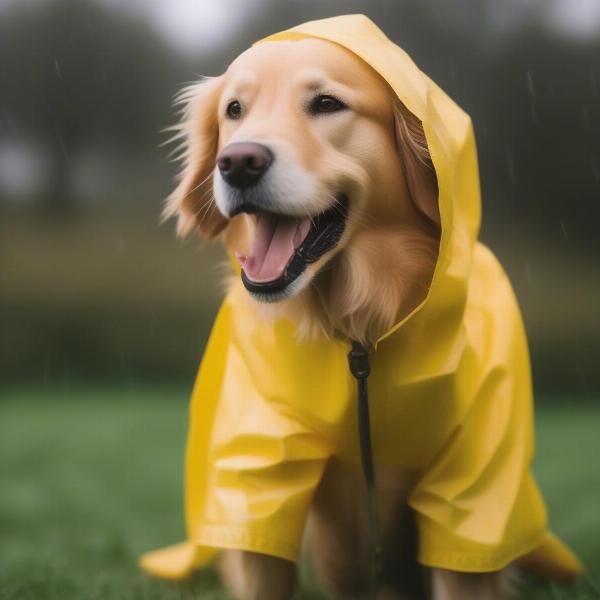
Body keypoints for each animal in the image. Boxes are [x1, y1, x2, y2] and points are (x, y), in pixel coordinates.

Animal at [145, 12, 580, 600]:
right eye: (234, 110)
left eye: (327, 103)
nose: (237, 163)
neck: (361, 330)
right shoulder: (260, 462)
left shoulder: (475, 481)